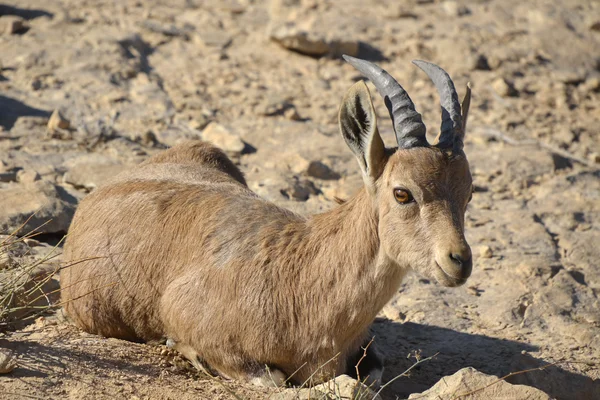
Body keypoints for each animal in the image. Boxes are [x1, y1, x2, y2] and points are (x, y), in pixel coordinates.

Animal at [61, 56, 474, 388]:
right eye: (402, 193)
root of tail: (97, 194)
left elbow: (373, 371)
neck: (307, 280)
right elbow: (268, 378)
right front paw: (186, 351)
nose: (459, 261)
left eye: (468, 193)